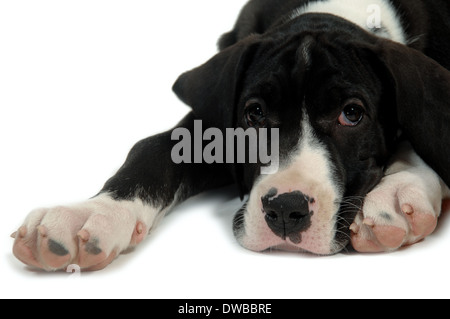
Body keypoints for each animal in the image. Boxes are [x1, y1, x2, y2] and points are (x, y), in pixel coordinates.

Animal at [12, 0, 450, 272]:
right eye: (254, 112)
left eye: (352, 114)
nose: (286, 210)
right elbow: (151, 149)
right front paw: (92, 213)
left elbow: (421, 132)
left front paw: (399, 190)